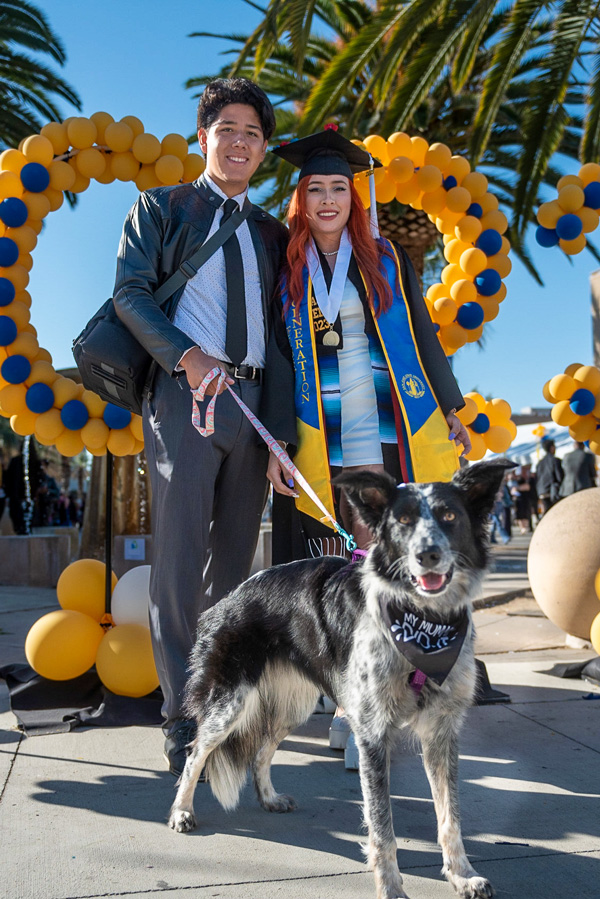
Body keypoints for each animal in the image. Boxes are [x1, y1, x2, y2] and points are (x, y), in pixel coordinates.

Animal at [166, 464, 512, 899]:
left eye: (450, 516)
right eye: (402, 520)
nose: (427, 556)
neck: (422, 622)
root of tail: (228, 598)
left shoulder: (441, 731)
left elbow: (450, 815)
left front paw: (462, 875)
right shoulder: (372, 733)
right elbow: (382, 825)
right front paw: (391, 887)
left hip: (292, 705)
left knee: (261, 750)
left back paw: (269, 798)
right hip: (231, 702)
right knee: (197, 751)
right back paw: (181, 811)